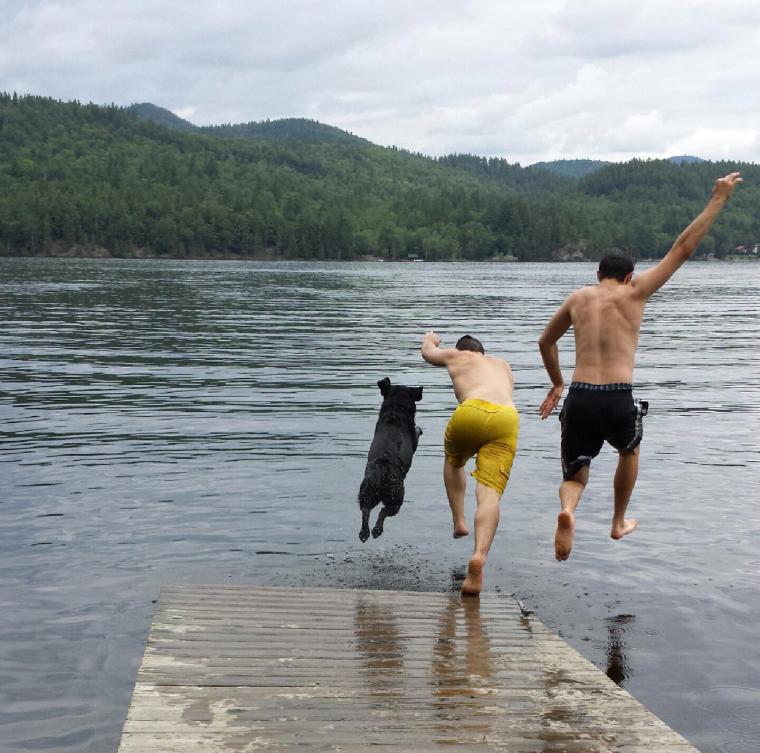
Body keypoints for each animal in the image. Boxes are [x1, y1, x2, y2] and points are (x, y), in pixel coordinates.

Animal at [358, 376, 422, 540]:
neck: (395, 411)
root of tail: (382, 470)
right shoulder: (414, 441)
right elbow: (417, 432)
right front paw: (419, 429)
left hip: (366, 493)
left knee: (365, 511)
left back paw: (364, 533)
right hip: (396, 498)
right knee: (383, 512)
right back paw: (376, 530)